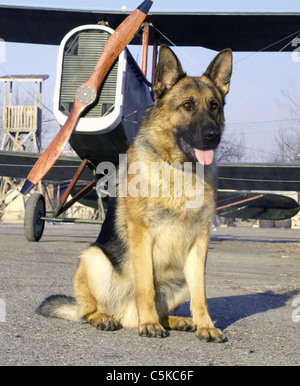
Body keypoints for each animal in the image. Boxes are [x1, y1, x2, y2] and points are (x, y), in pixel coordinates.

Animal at [37, 46, 233, 344]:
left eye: (214, 106)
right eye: (187, 105)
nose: (214, 135)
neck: (178, 169)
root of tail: (125, 315)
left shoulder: (200, 244)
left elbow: (201, 295)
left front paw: (206, 326)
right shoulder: (142, 236)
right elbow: (146, 287)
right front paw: (149, 324)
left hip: (180, 279)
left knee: (162, 310)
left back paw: (177, 321)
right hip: (94, 258)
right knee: (90, 310)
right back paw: (110, 318)